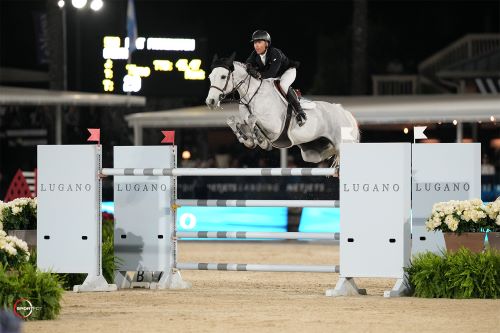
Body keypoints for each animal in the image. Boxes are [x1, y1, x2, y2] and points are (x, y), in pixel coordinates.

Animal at [206, 55, 360, 164]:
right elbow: (236, 125)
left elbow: (253, 120)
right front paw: (250, 139)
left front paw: (261, 140)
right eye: (210, 77)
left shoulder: (274, 127)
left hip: (343, 142)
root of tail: (344, 112)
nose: (210, 101)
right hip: (314, 153)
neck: (252, 95)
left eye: (223, 76)